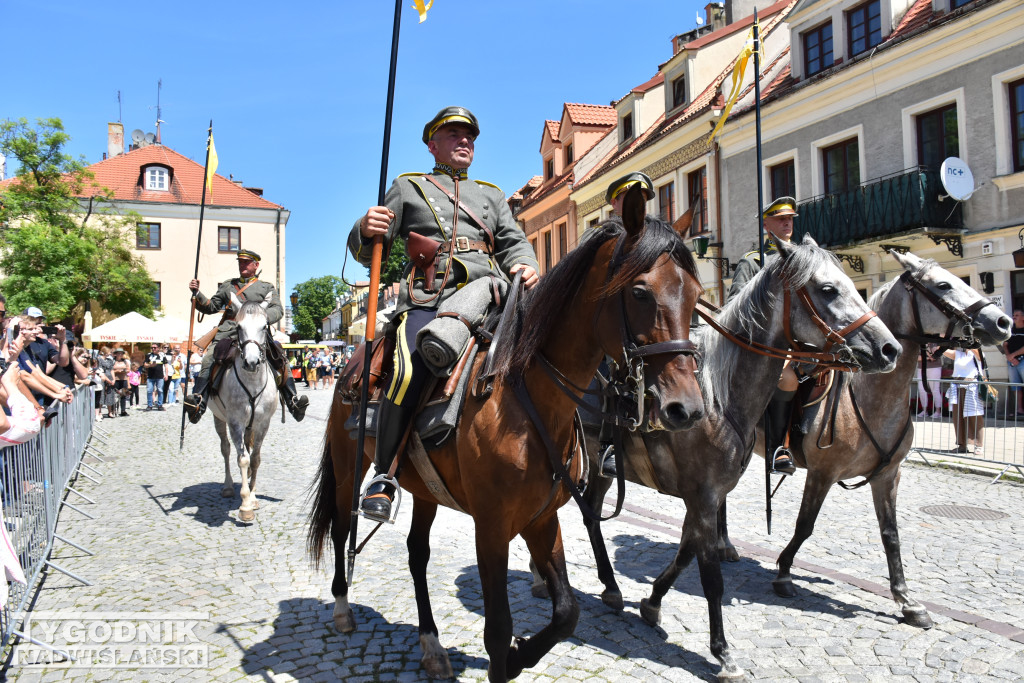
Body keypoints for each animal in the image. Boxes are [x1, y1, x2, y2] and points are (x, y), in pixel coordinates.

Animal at [209, 301, 278, 520]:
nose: (251, 362)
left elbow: (255, 459)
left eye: (264, 326)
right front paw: (245, 504)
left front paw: (253, 497)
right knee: (225, 448)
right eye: (238, 327)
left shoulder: (263, 423)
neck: (253, 382)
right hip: (219, 418)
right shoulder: (235, 422)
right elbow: (243, 459)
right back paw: (229, 486)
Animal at [305, 187, 704, 683]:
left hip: (425, 489)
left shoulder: (541, 519)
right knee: (343, 529)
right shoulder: (492, 528)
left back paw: (431, 645)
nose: (686, 408)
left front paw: (522, 653)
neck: (527, 396)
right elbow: (497, 628)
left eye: (696, 295)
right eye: (640, 292)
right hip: (348, 468)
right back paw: (343, 607)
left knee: (417, 554)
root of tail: (357, 358)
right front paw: (508, 655)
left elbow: (567, 612)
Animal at [561, 236, 905, 679]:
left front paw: (652, 602)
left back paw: (608, 586)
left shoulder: (705, 497)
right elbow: (710, 577)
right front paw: (723, 653)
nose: (889, 348)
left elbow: (687, 551)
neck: (717, 398)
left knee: (590, 513)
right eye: (827, 289)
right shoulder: (705, 497)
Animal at [716, 252, 1011, 630]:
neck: (872, 396)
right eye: (944, 284)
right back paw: (724, 545)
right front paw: (783, 573)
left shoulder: (888, 476)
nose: (1003, 322)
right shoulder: (822, 474)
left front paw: (907, 600)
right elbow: (805, 525)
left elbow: (891, 534)